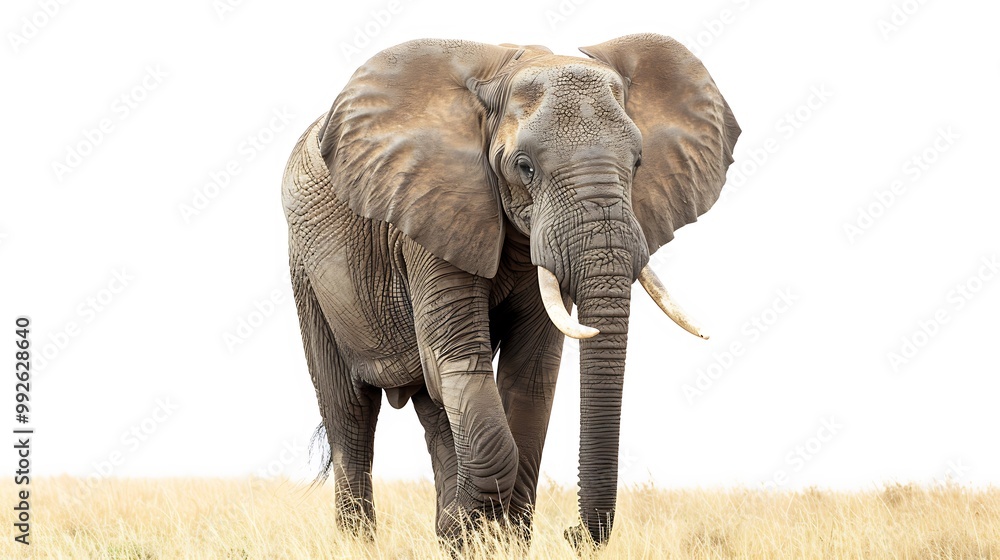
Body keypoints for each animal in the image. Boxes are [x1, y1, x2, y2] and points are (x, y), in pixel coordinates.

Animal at [281, 33, 740, 546]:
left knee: (434, 409)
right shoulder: (433, 212)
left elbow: (531, 374)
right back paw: (364, 539)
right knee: (350, 412)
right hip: (306, 273)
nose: (573, 534)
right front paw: (471, 532)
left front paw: (493, 539)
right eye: (525, 167)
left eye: (638, 162)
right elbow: (459, 359)